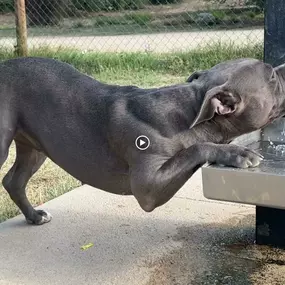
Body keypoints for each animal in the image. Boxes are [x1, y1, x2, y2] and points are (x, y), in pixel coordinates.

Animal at [0, 56, 282, 224]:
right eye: (271, 76)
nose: (282, 66)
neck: (191, 109)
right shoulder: (148, 186)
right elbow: (193, 149)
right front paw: (238, 153)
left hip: (35, 146)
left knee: (14, 181)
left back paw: (35, 216)